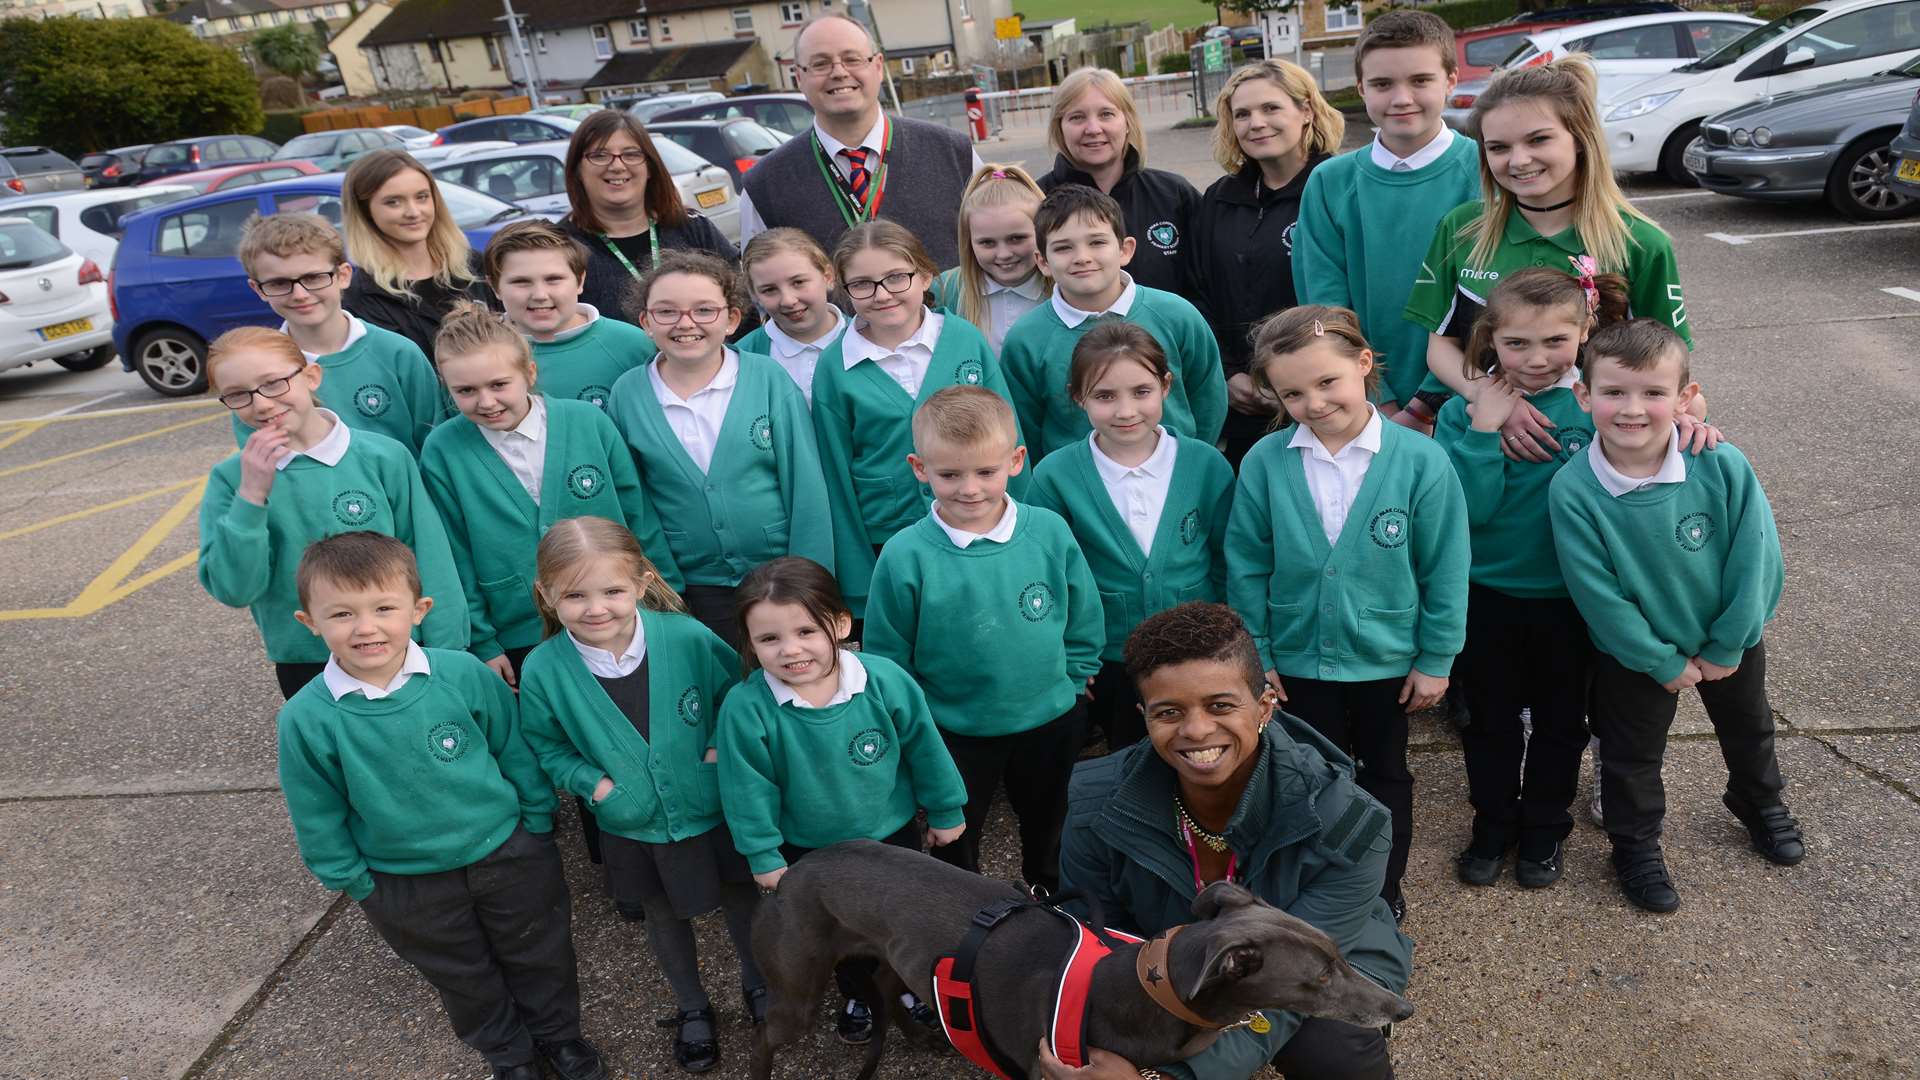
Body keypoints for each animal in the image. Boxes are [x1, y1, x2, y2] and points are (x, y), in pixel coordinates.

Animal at [744, 841, 1413, 1076]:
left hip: (884, 953)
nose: (1401, 1010)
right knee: (766, 1034)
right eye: (1319, 976)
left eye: (1338, 952)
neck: (1136, 989)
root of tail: (793, 870)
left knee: (886, 983)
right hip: (796, 988)